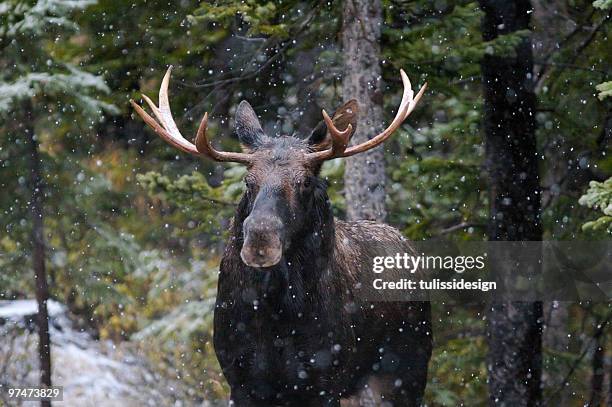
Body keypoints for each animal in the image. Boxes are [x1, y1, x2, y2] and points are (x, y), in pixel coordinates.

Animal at [131, 67, 432, 407]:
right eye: (248, 181)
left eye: (305, 182)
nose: (260, 240)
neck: (277, 317)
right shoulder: (242, 379)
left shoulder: (324, 380)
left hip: (404, 372)